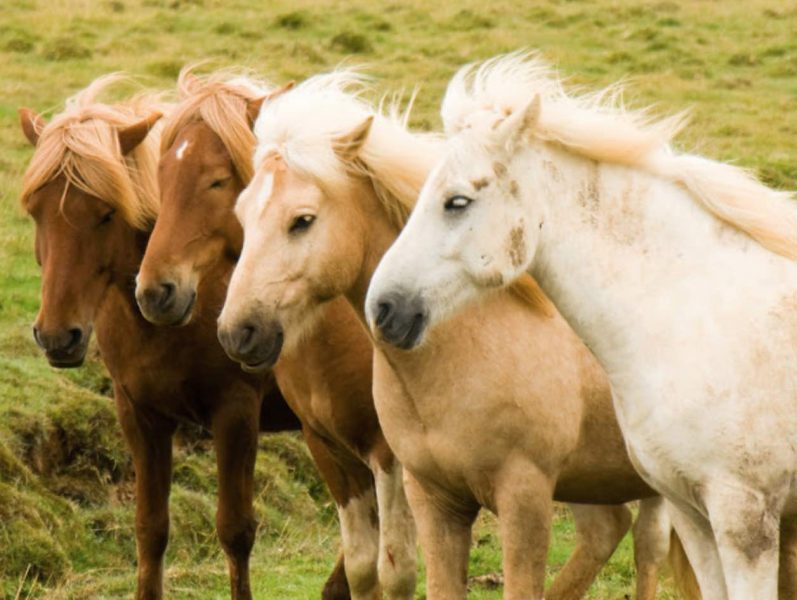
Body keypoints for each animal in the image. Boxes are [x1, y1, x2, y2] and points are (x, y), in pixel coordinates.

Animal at [16, 75, 319, 600]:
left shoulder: (235, 412)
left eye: (106, 213)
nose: (57, 336)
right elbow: (150, 528)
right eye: (36, 211)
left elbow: (235, 530)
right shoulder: (139, 415)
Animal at [133, 67, 417, 600]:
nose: (155, 291)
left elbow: (396, 570)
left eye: (217, 180)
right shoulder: (328, 447)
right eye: (160, 174)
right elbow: (363, 566)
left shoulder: (388, 454)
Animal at [216, 68, 684, 600]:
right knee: (607, 531)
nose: (238, 331)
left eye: (303, 220)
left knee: (647, 547)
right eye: (242, 215)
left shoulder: (524, 500)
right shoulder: (435, 500)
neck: (465, 347)